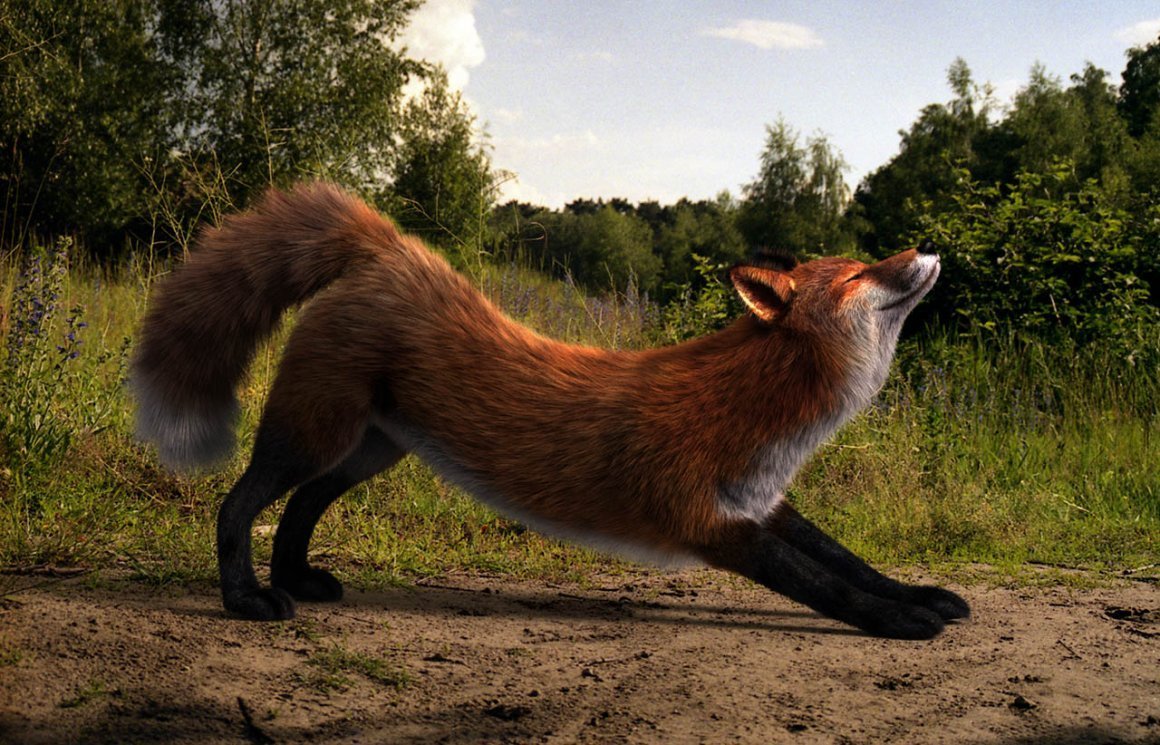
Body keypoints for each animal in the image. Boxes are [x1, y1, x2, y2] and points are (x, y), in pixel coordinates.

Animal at [131, 182, 969, 639]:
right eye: (859, 273)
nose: (929, 244)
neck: (762, 416)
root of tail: (397, 251)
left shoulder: (761, 504)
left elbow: (849, 561)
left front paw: (921, 595)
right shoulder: (708, 520)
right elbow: (828, 585)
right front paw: (900, 622)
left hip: (369, 450)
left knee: (300, 508)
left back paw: (298, 578)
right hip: (315, 434)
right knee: (239, 503)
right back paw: (245, 597)